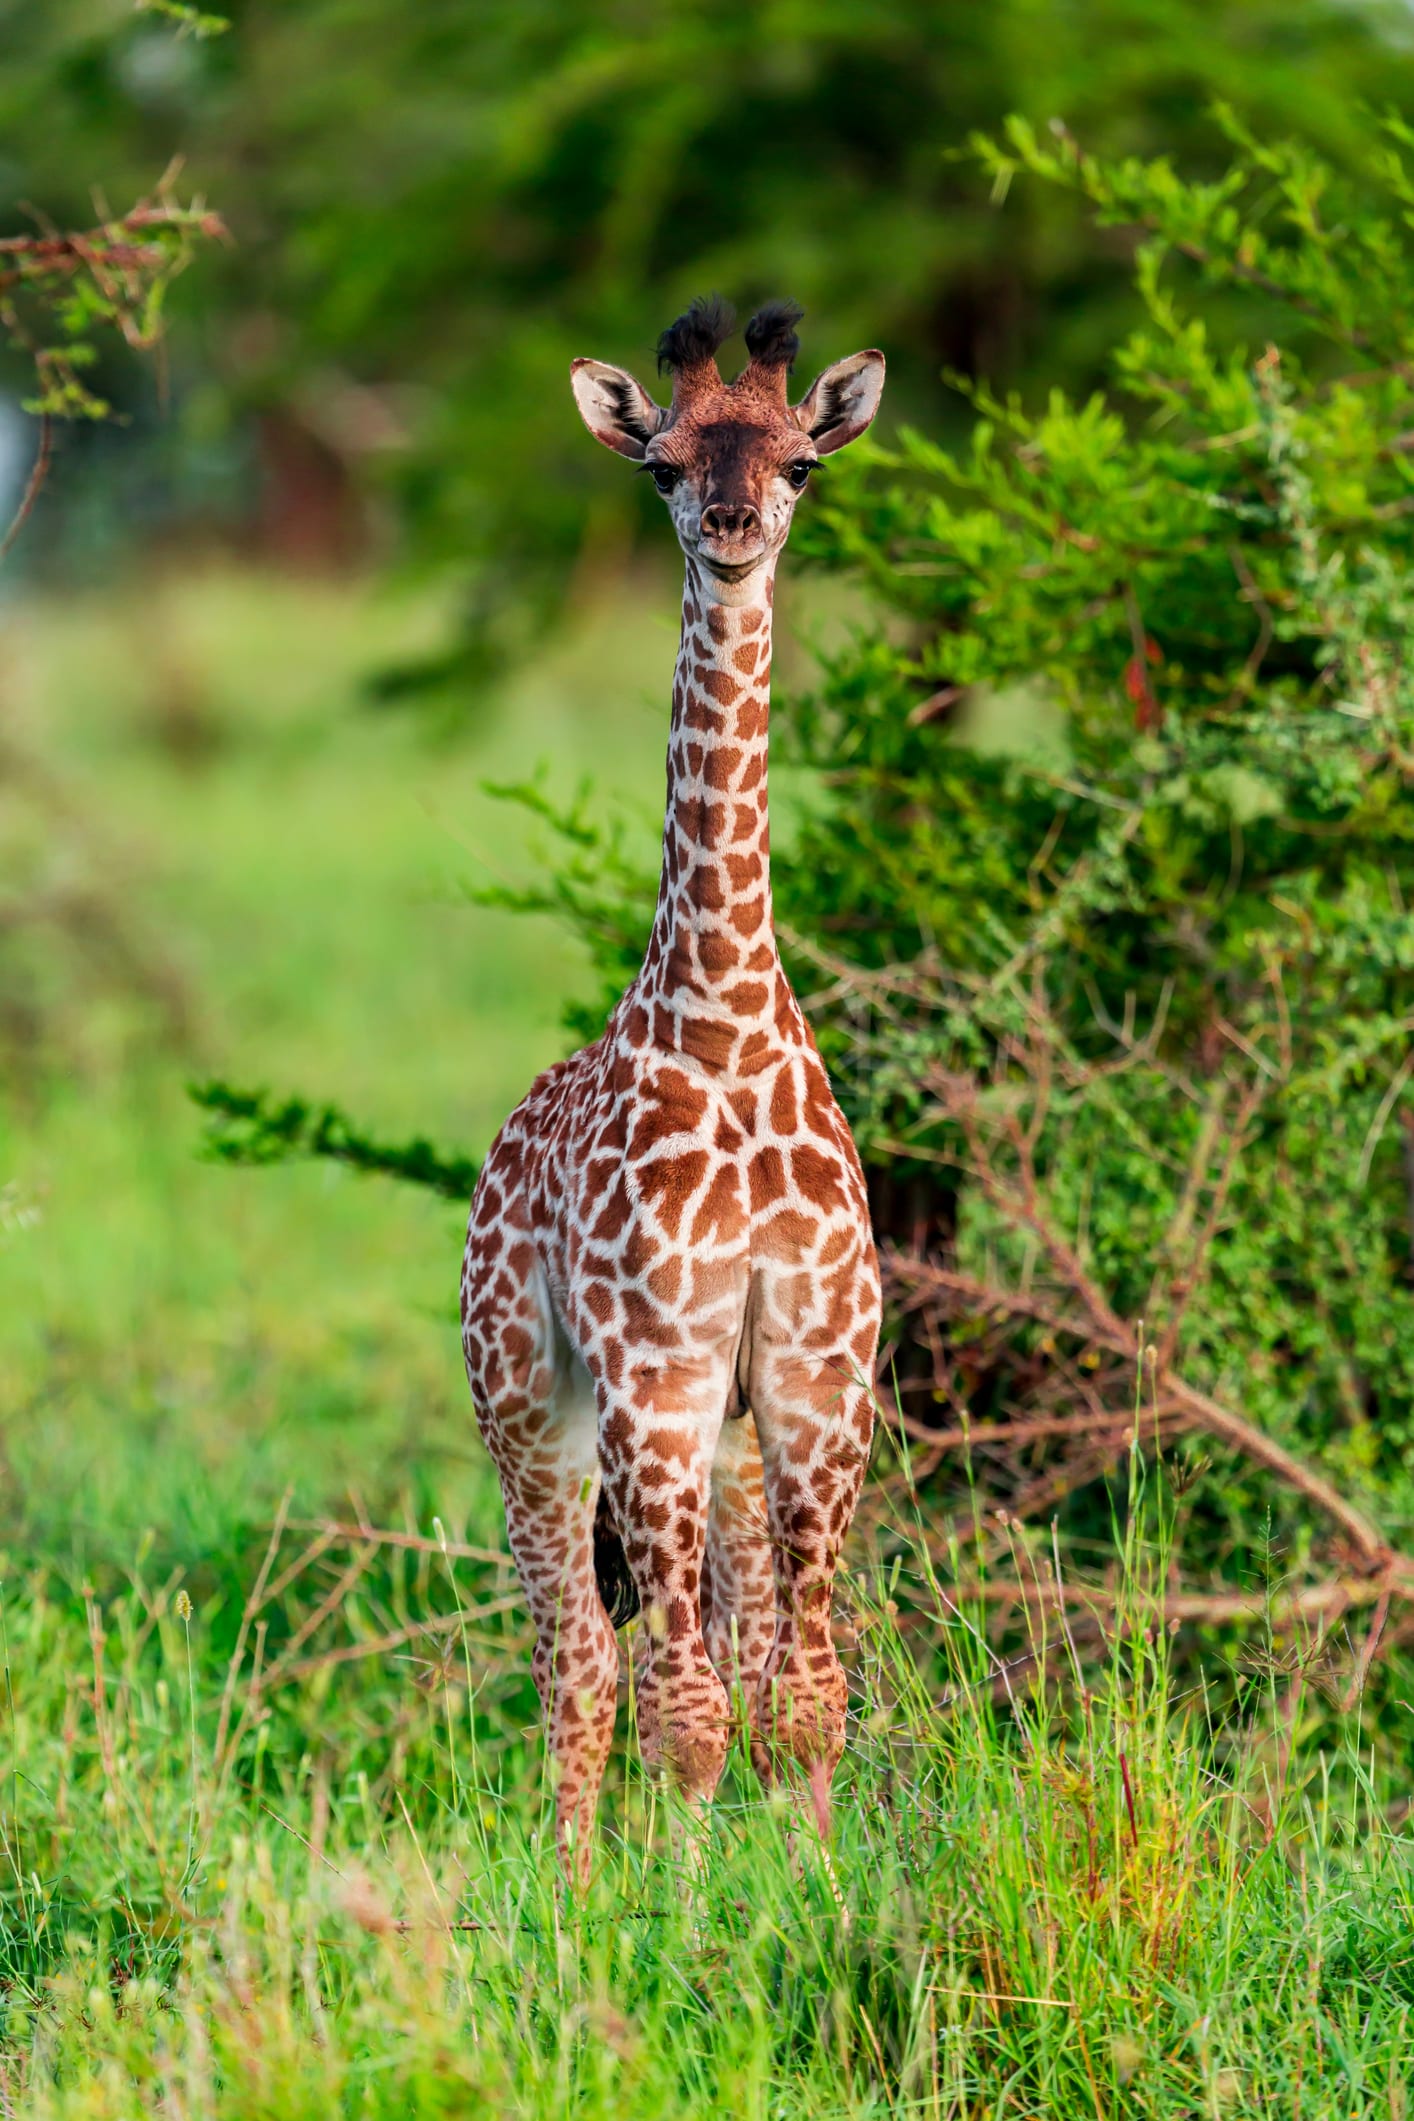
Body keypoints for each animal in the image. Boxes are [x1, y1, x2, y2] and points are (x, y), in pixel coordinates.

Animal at [464, 290, 886, 1883]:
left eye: (800, 461)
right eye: (657, 462)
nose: (730, 522)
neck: (724, 1019)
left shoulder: (816, 1376)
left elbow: (800, 1697)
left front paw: (816, 1895)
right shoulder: (653, 1375)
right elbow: (685, 1716)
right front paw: (690, 1914)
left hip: (727, 1434)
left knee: (731, 1637)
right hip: (528, 1405)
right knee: (581, 1659)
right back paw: (577, 1889)